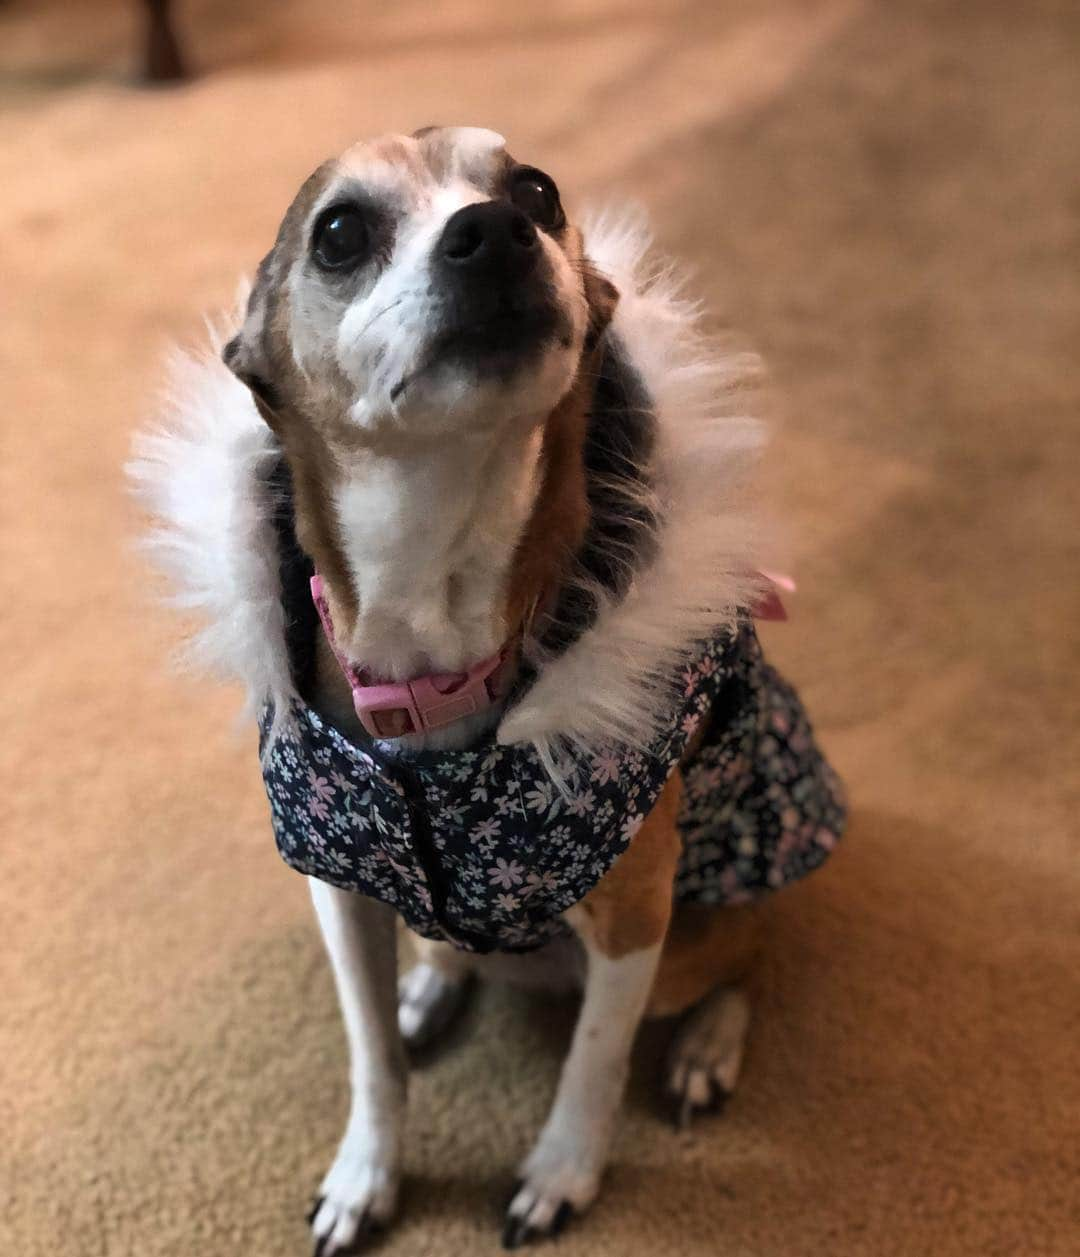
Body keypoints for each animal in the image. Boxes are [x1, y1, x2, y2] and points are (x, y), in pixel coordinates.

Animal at [130, 125, 849, 1246]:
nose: (497, 229)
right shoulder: (345, 892)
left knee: (750, 951)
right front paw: (366, 1174)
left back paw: (705, 1047)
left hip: (700, 931)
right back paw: (436, 985)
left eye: (541, 192)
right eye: (340, 233)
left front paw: (562, 1171)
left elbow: (594, 1059)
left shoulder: (635, 911)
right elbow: (371, 1058)